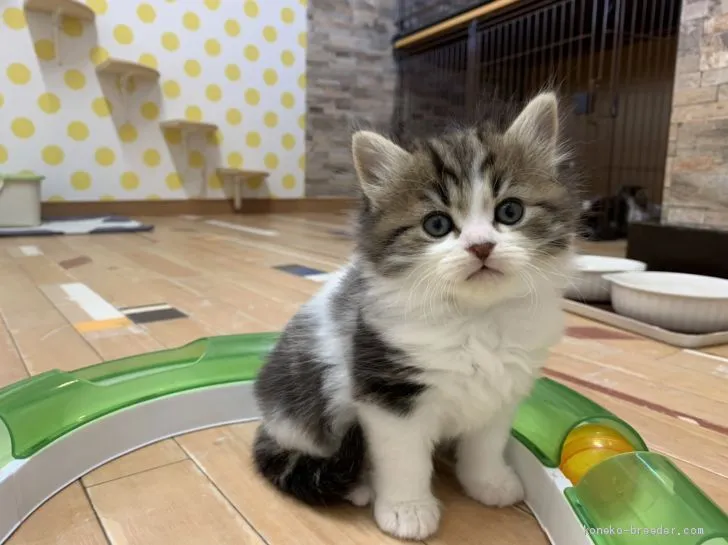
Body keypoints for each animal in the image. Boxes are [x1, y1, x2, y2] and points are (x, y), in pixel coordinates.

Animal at [252, 92, 581, 540]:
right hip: (305, 413)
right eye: (437, 225)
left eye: (510, 212)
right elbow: (405, 459)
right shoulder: (389, 392)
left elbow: (486, 444)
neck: (475, 320)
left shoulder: (503, 388)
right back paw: (360, 486)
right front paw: (407, 510)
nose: (481, 246)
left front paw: (488, 482)